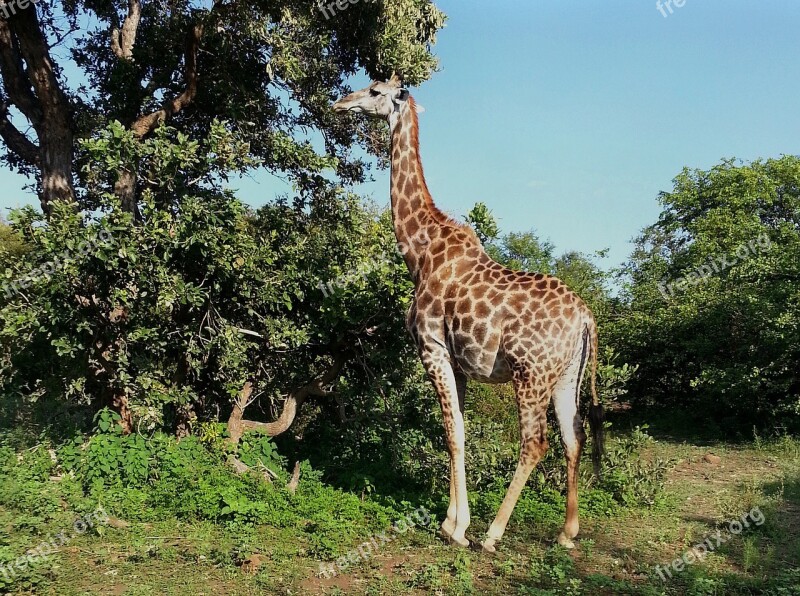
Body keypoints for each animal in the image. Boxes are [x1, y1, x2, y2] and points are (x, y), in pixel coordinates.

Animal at [332, 77, 608, 552]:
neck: (419, 251)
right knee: (573, 437)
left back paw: (493, 534)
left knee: (535, 443)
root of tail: (586, 319)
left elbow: (451, 431)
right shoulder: (458, 362)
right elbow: (459, 430)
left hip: (529, 372)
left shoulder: (432, 347)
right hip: (566, 374)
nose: (340, 102)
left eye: (374, 90)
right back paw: (567, 532)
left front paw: (457, 529)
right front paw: (451, 520)